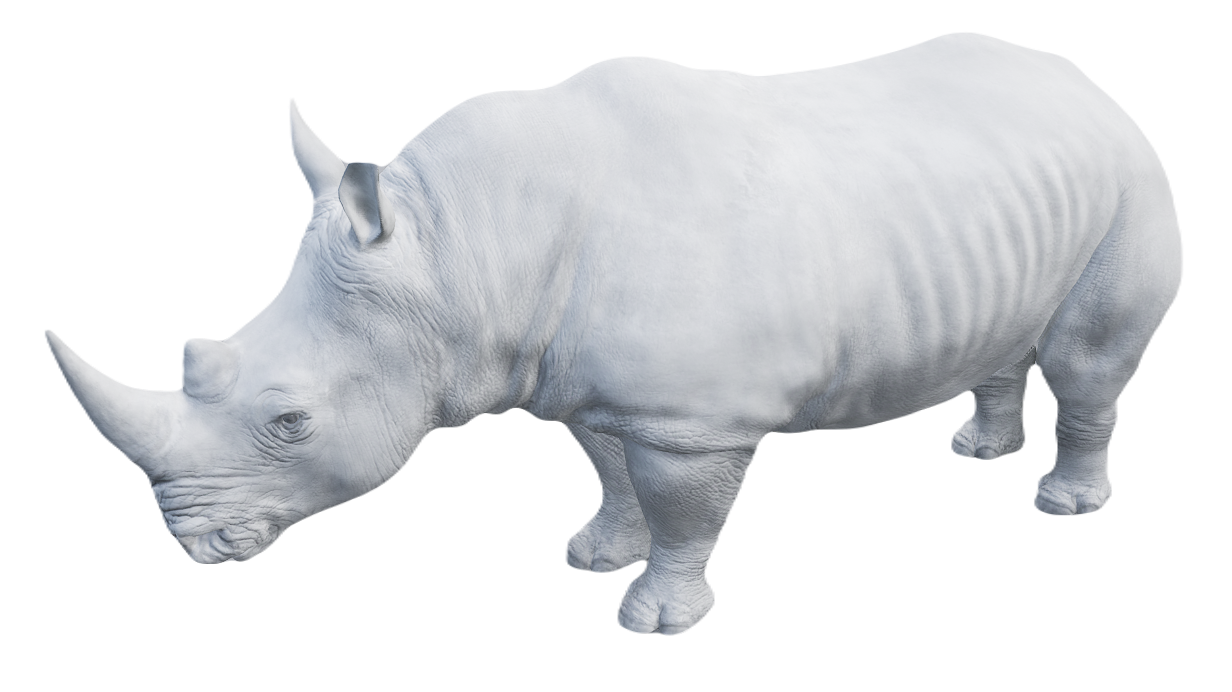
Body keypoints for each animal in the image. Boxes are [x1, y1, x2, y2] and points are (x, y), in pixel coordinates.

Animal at [46, 32, 1182, 634]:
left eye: (290, 421)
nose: (195, 546)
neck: (462, 247)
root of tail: (1086, 79)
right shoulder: (584, 384)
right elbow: (610, 474)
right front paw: (595, 554)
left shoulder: (692, 418)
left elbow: (682, 507)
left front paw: (656, 612)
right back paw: (976, 449)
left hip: (1130, 179)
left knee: (1088, 358)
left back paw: (1062, 501)